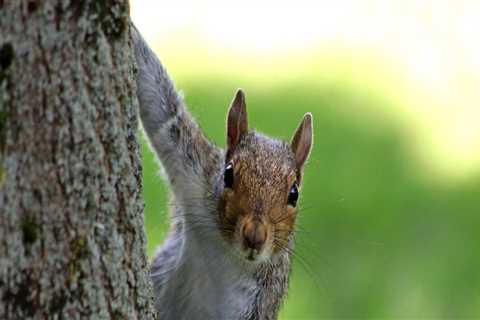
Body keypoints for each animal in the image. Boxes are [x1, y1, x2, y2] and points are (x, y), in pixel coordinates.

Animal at [129, 23, 314, 320]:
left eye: (294, 194)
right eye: (228, 174)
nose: (254, 237)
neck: (229, 254)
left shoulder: (260, 301)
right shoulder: (196, 169)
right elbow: (163, 113)